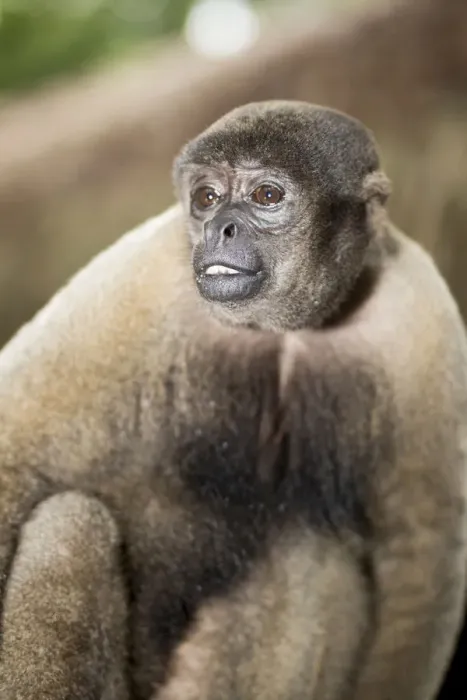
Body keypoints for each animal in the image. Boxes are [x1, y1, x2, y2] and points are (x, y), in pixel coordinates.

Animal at [0, 101, 465, 700]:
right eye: (206, 197)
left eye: (267, 195)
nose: (221, 227)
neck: (282, 332)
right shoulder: (141, 275)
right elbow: (15, 455)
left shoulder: (419, 314)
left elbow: (420, 556)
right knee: (72, 522)